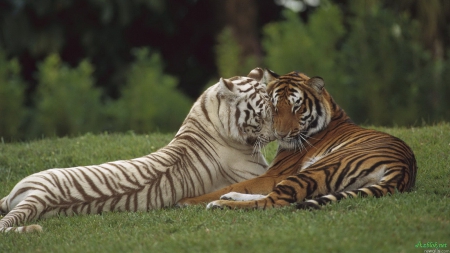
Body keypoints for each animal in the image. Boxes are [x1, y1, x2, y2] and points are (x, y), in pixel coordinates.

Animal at [177, 69, 418, 210]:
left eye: (297, 107)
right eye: (274, 106)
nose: (280, 134)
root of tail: (403, 168)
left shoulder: (276, 174)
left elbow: (238, 184)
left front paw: (188, 200)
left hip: (317, 169)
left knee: (274, 201)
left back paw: (218, 203)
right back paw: (228, 198)